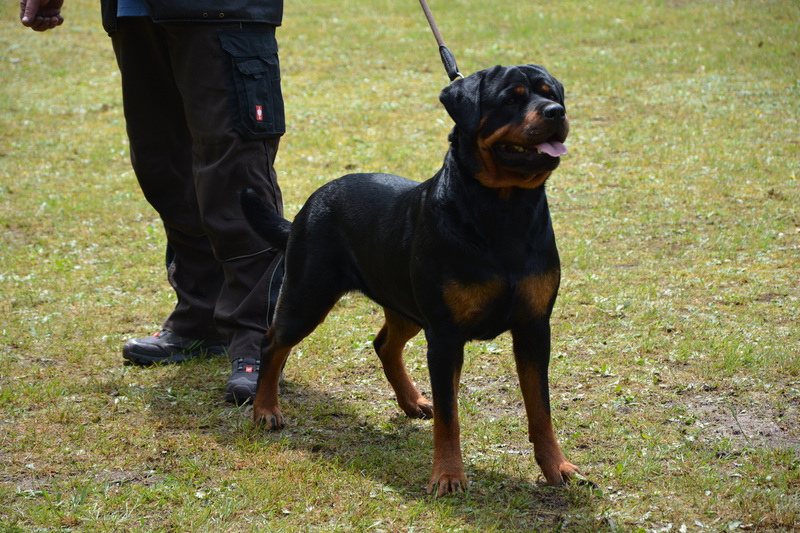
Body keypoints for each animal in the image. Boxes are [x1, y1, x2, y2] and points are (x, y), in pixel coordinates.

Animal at [241, 64, 582, 496]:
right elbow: (450, 415)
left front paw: (558, 467)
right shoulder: (446, 335)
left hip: (404, 304)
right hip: (308, 294)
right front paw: (448, 476)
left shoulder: (534, 327)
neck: (504, 211)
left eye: (550, 93)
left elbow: (541, 408)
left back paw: (411, 401)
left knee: (384, 344)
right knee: (273, 343)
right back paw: (265, 409)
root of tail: (309, 205)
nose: (556, 113)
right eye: (511, 99)